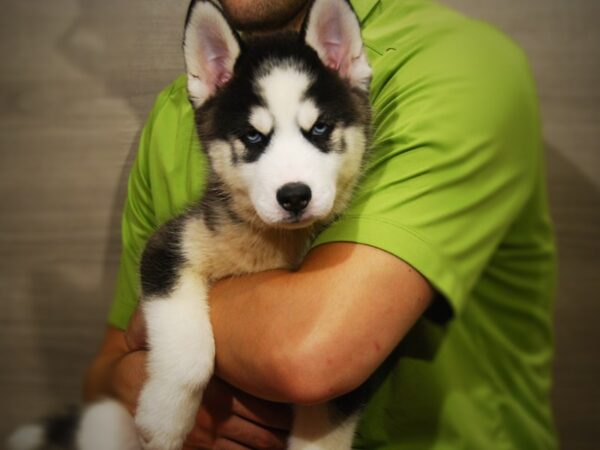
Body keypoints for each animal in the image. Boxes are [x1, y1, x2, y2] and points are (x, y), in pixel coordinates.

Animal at [7, 0, 370, 450]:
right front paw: (165, 419)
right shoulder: (170, 247)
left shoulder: (350, 361)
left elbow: (327, 421)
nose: (294, 196)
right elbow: (190, 353)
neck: (273, 244)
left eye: (319, 128)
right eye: (253, 137)